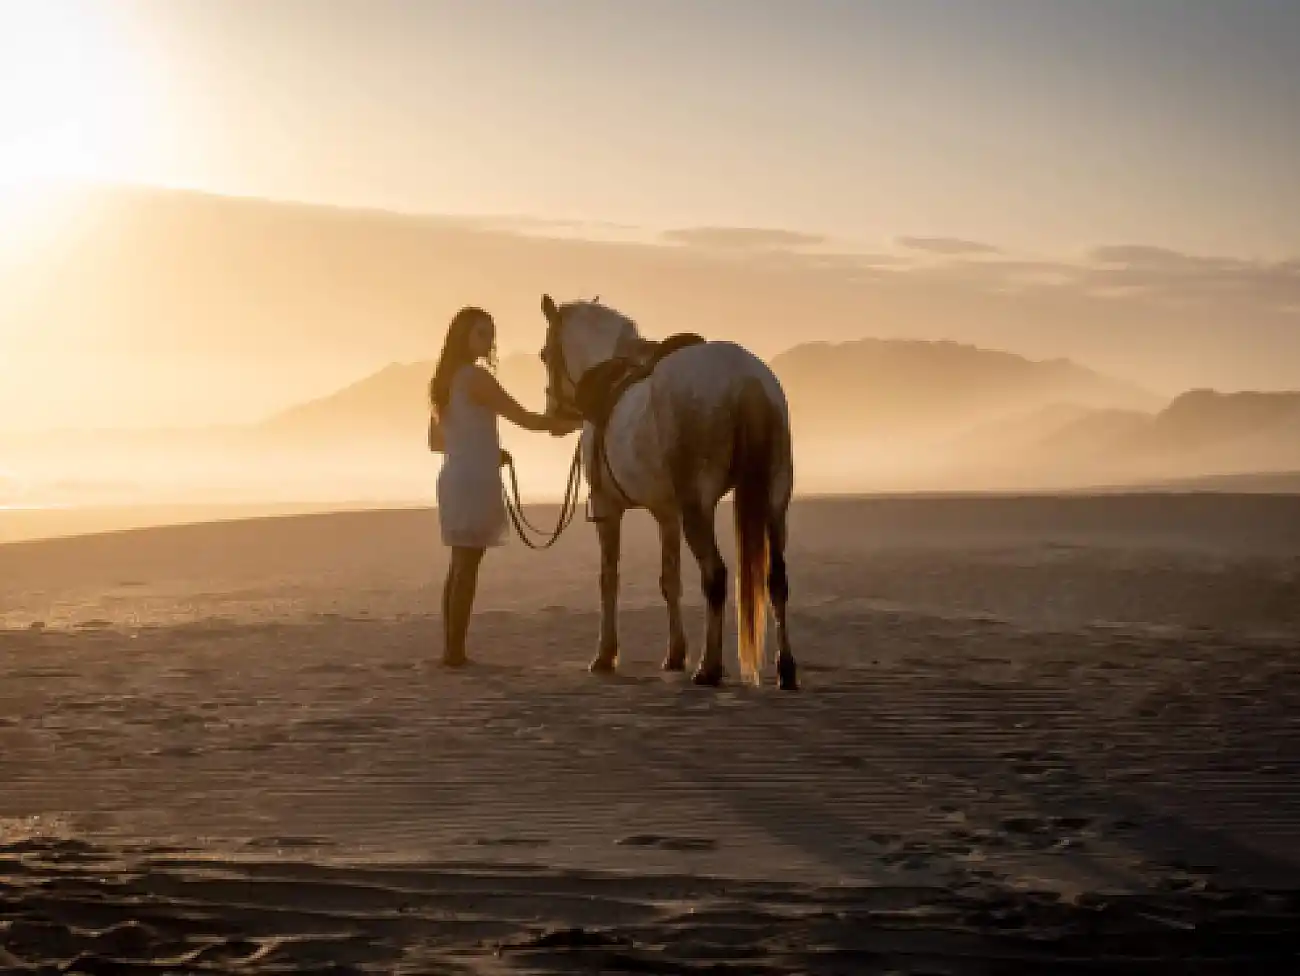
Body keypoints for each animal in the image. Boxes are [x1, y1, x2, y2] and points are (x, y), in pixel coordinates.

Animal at [538, 294, 799, 690]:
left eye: (544, 354)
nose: (553, 416)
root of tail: (746, 379)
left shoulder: (607, 509)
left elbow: (608, 579)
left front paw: (605, 655)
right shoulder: (666, 514)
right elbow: (669, 580)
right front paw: (675, 653)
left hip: (698, 508)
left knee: (716, 577)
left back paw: (708, 667)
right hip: (775, 500)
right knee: (777, 579)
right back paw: (786, 669)